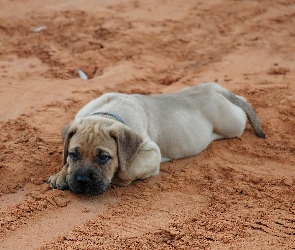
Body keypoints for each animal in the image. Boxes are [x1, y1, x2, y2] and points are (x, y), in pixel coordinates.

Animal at [48, 83, 266, 194]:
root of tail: (212, 87)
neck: (107, 113)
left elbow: (128, 168)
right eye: (73, 154)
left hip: (232, 123)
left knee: (242, 103)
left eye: (103, 157)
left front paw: (119, 176)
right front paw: (61, 174)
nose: (82, 181)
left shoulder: (151, 152)